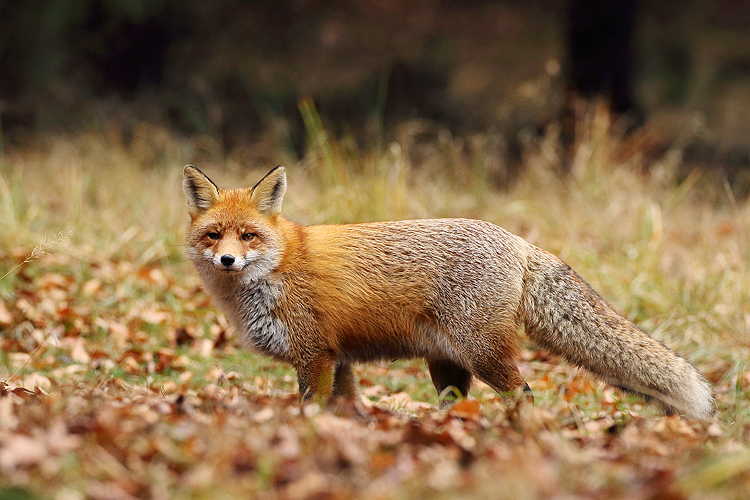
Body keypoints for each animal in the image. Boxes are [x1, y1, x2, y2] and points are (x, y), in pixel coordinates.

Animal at [185, 164, 712, 418]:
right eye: (214, 236)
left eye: (248, 236)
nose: (227, 260)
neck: (275, 271)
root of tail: (519, 241)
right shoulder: (339, 358)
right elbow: (349, 409)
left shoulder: (315, 355)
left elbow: (311, 409)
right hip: (447, 365)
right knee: (463, 403)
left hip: (482, 354)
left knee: (523, 394)